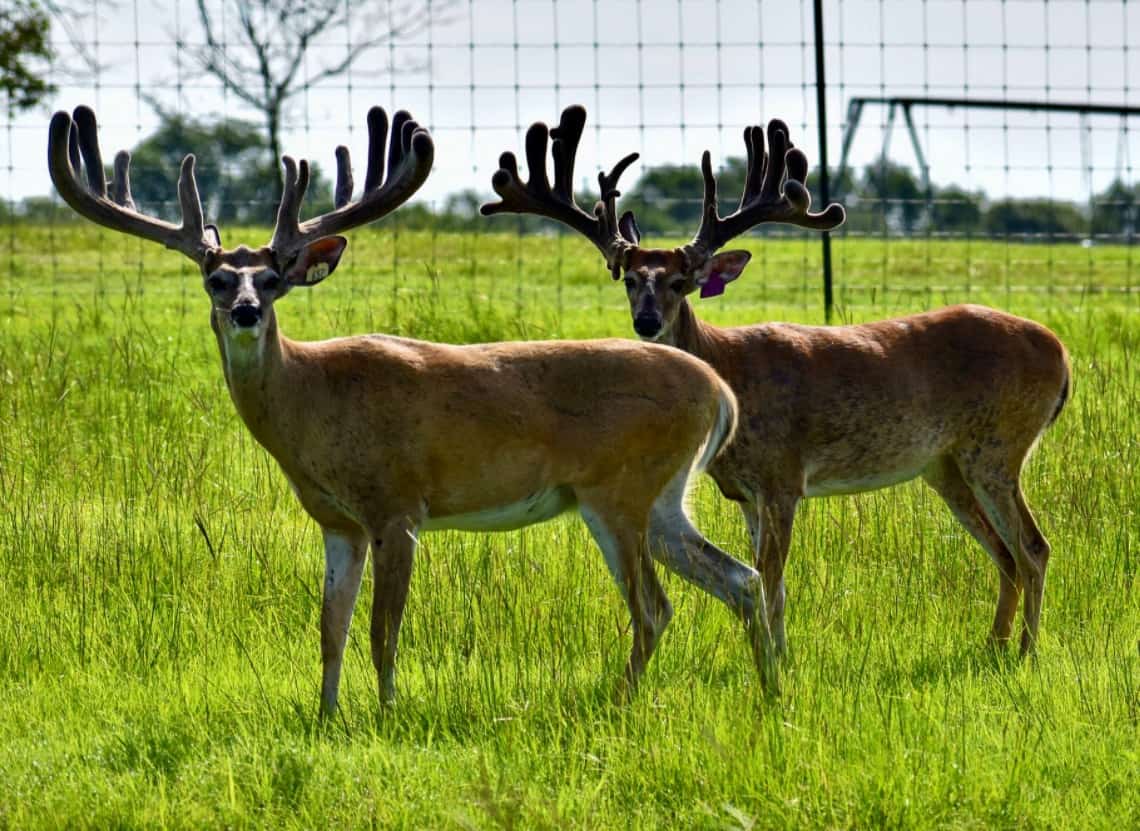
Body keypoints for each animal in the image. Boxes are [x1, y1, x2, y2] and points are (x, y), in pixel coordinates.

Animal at [47, 105, 774, 716]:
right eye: (217, 278)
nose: (247, 310)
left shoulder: (398, 505)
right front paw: (326, 717)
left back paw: (619, 703)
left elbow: (382, 630)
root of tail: (718, 390)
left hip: (618, 490)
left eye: (275, 278)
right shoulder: (336, 521)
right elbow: (330, 627)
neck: (312, 401)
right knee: (741, 578)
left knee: (655, 606)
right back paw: (771, 691)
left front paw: (388, 714)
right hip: (662, 498)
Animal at [483, 105, 1072, 676]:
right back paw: (995, 647)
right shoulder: (745, 491)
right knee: (1005, 554)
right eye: (629, 279)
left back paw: (1027, 654)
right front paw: (778, 655)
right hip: (944, 466)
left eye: (680, 282)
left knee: (1033, 547)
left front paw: (778, 662)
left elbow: (772, 580)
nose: (647, 322)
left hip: (996, 446)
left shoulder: (783, 476)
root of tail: (1061, 354)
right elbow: (770, 583)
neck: (730, 371)